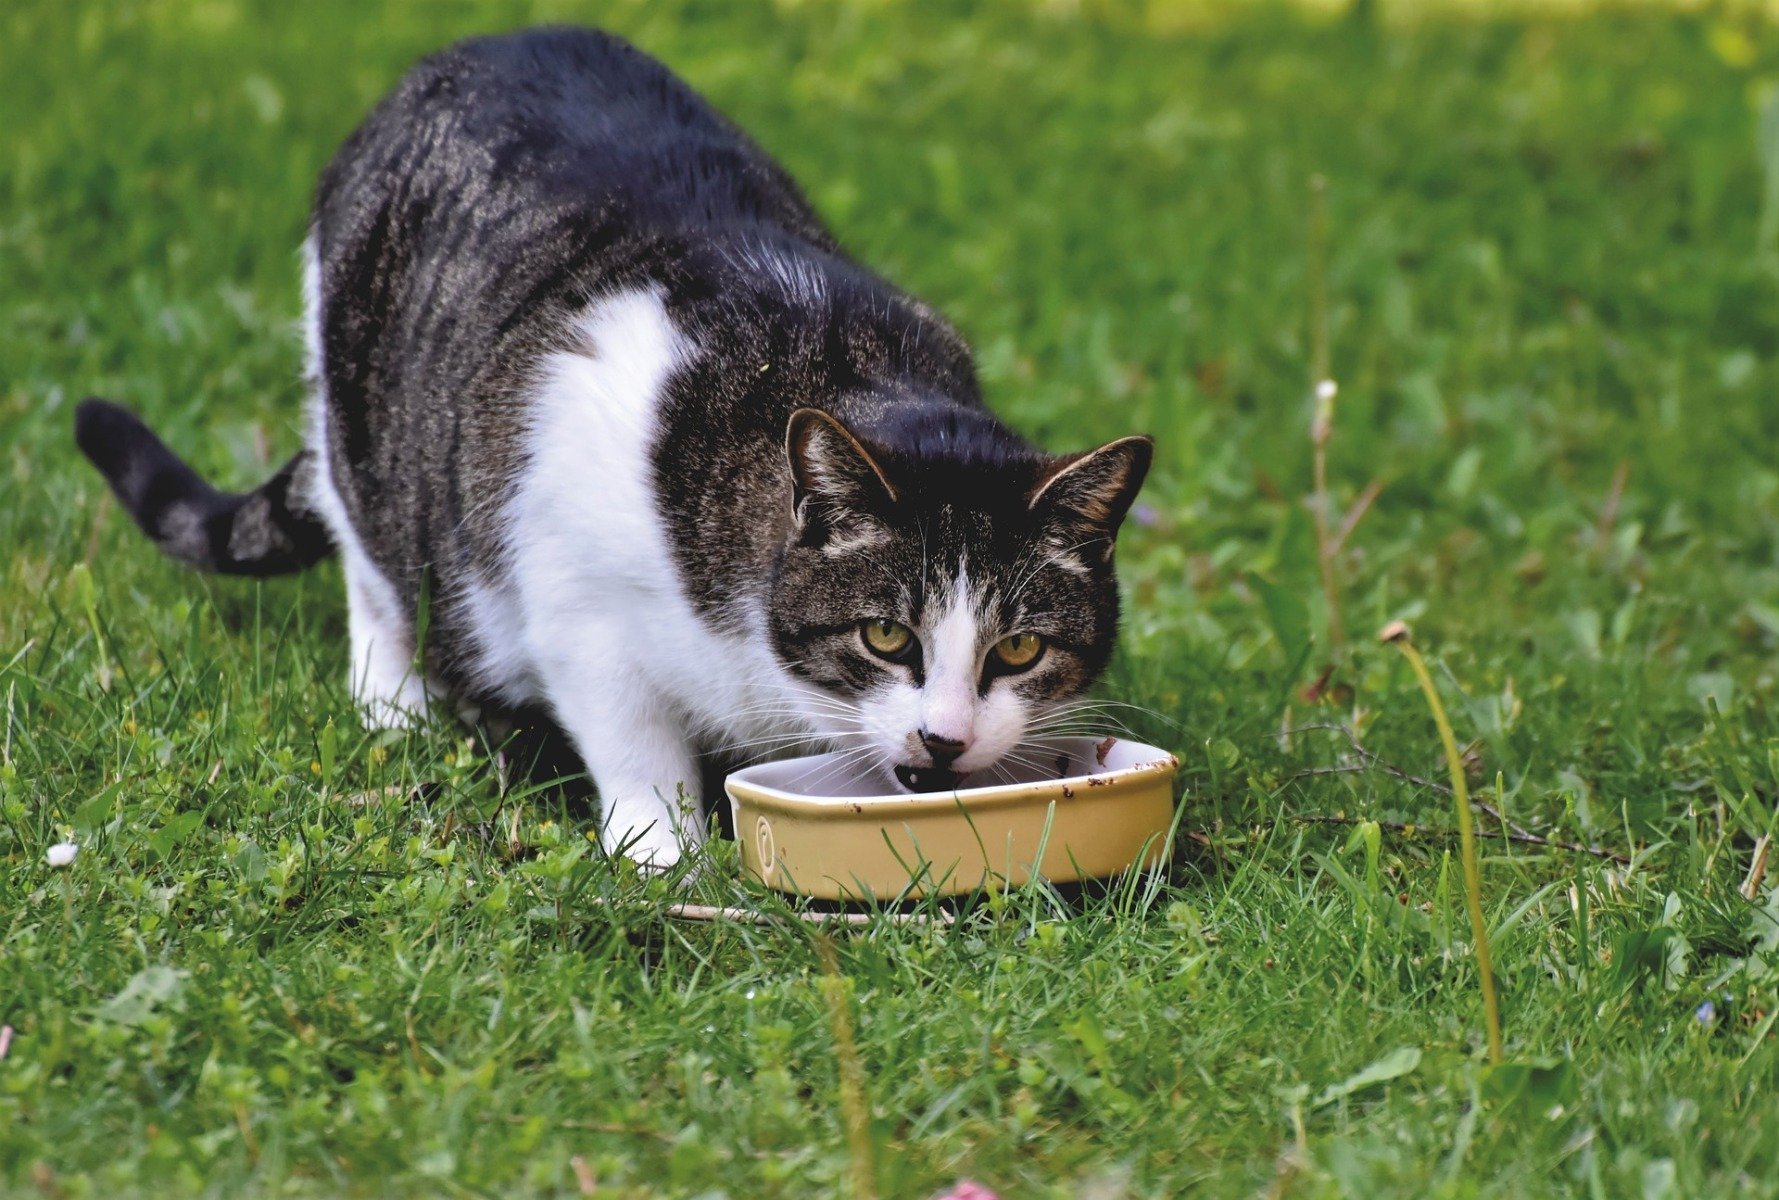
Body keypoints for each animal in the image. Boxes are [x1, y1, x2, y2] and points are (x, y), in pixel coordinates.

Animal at [72, 25, 1152, 874]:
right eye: (886, 637)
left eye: (1019, 650)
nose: (944, 738)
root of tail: (484, 43)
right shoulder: (574, 601)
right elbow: (634, 741)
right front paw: (664, 852)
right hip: (362, 424)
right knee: (371, 561)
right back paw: (396, 701)